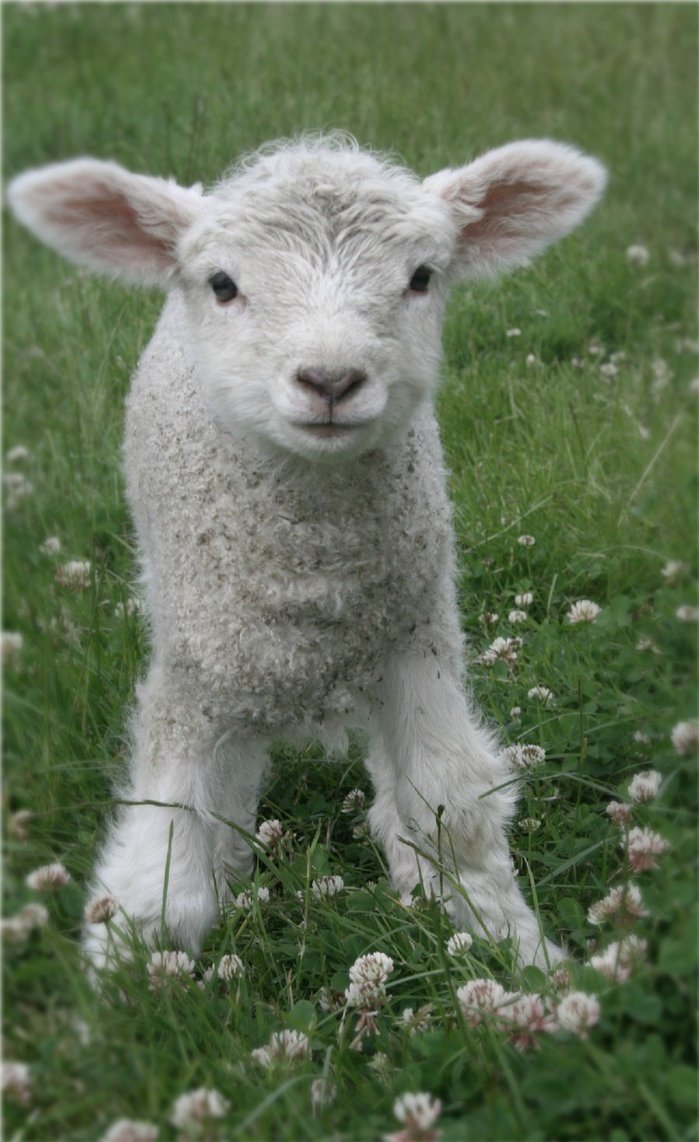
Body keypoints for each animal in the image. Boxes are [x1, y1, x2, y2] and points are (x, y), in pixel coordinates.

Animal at [8, 133, 606, 971]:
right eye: (223, 284)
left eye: (421, 278)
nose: (330, 380)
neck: (311, 581)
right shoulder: (191, 677)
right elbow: (156, 883)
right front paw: (124, 989)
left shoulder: (414, 646)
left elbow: (452, 805)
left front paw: (520, 953)